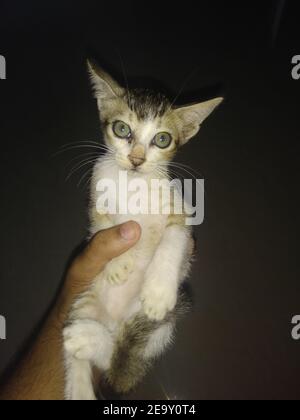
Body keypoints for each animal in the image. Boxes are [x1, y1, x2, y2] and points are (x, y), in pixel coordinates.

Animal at [62, 60, 223, 400]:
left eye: (162, 139)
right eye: (122, 129)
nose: (136, 159)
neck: (133, 183)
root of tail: (113, 320)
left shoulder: (181, 211)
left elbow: (175, 237)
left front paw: (158, 291)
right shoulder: (97, 190)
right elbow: (101, 222)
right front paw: (117, 263)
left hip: (161, 328)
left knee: (122, 363)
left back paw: (89, 338)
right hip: (85, 300)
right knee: (94, 357)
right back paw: (79, 384)